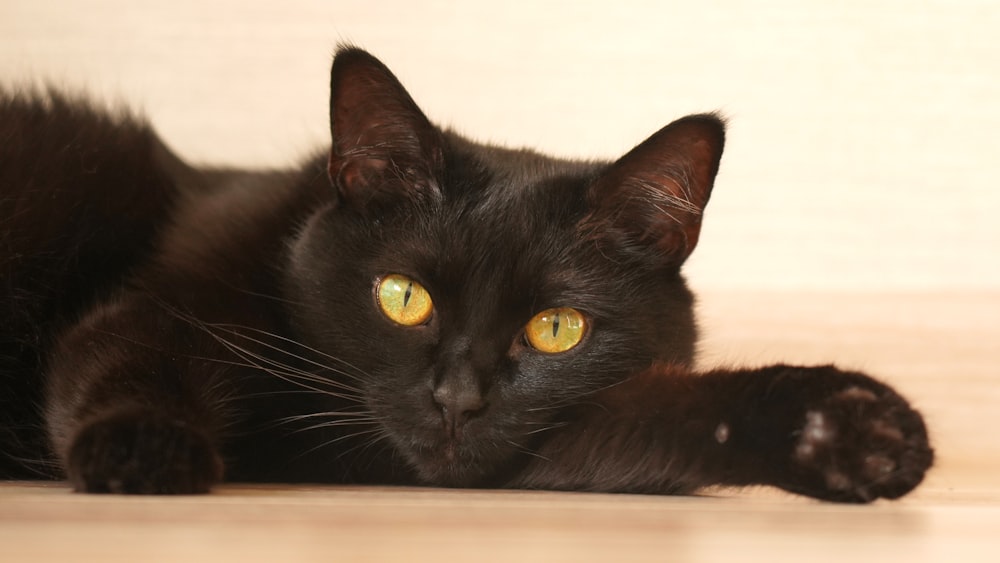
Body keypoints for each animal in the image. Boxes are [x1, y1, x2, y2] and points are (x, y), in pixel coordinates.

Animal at [3, 47, 932, 502]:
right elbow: (126, 357)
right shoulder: (163, 309)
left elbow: (654, 419)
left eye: (556, 328)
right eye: (401, 297)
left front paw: (846, 433)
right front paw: (142, 451)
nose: (456, 398)